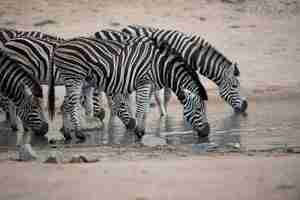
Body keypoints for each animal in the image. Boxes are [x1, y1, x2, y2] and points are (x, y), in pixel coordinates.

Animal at [48, 36, 209, 141]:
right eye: (198, 109)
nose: (207, 133)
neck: (161, 67)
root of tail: (60, 46)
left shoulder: (150, 85)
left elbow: (144, 109)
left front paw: (140, 129)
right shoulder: (144, 82)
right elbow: (140, 108)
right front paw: (139, 132)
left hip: (77, 80)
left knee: (64, 106)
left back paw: (68, 134)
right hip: (74, 77)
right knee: (71, 105)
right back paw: (79, 134)